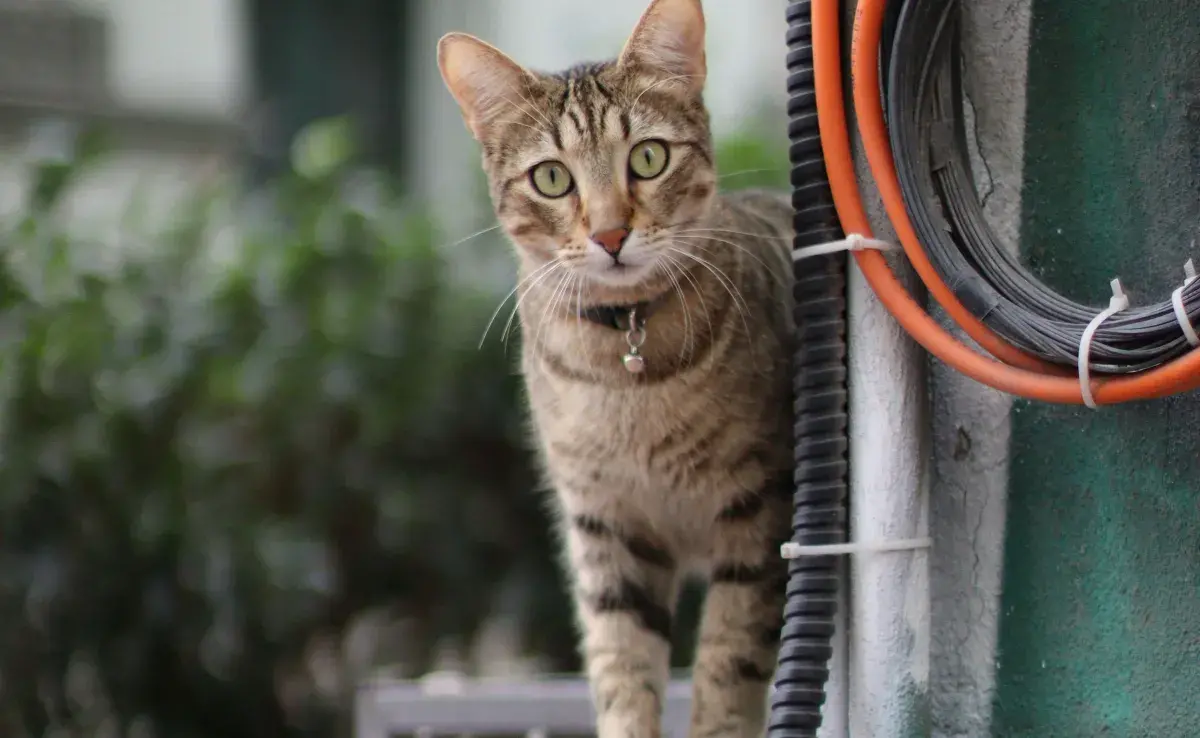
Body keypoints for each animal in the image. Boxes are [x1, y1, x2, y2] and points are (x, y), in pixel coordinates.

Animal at [439, 2, 796, 734]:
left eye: (648, 158)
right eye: (551, 177)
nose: (609, 235)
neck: (626, 369)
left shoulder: (759, 513)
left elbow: (727, 661)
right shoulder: (606, 528)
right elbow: (620, 663)